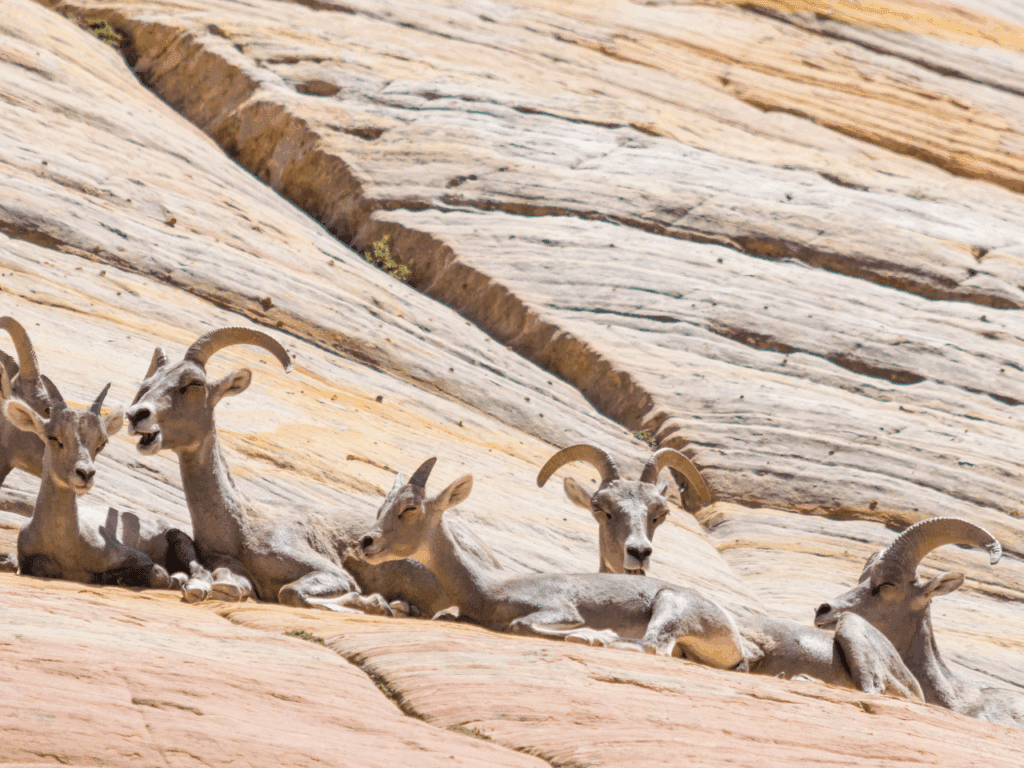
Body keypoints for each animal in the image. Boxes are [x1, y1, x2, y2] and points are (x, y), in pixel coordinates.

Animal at [5, 377, 209, 588]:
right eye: (52, 437)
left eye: (101, 443)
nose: (85, 474)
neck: (67, 543)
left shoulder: (132, 555)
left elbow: (160, 575)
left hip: (179, 540)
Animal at [125, 325, 458, 615]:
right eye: (147, 385)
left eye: (193, 384)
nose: (136, 415)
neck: (238, 527)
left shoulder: (330, 573)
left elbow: (292, 592)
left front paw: (375, 603)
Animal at [361, 457, 749, 667]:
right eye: (383, 505)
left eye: (410, 508)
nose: (366, 542)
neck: (487, 586)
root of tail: (731, 631)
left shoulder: (557, 608)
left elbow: (520, 625)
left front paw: (591, 633)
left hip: (671, 604)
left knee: (653, 644)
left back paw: (599, 638)